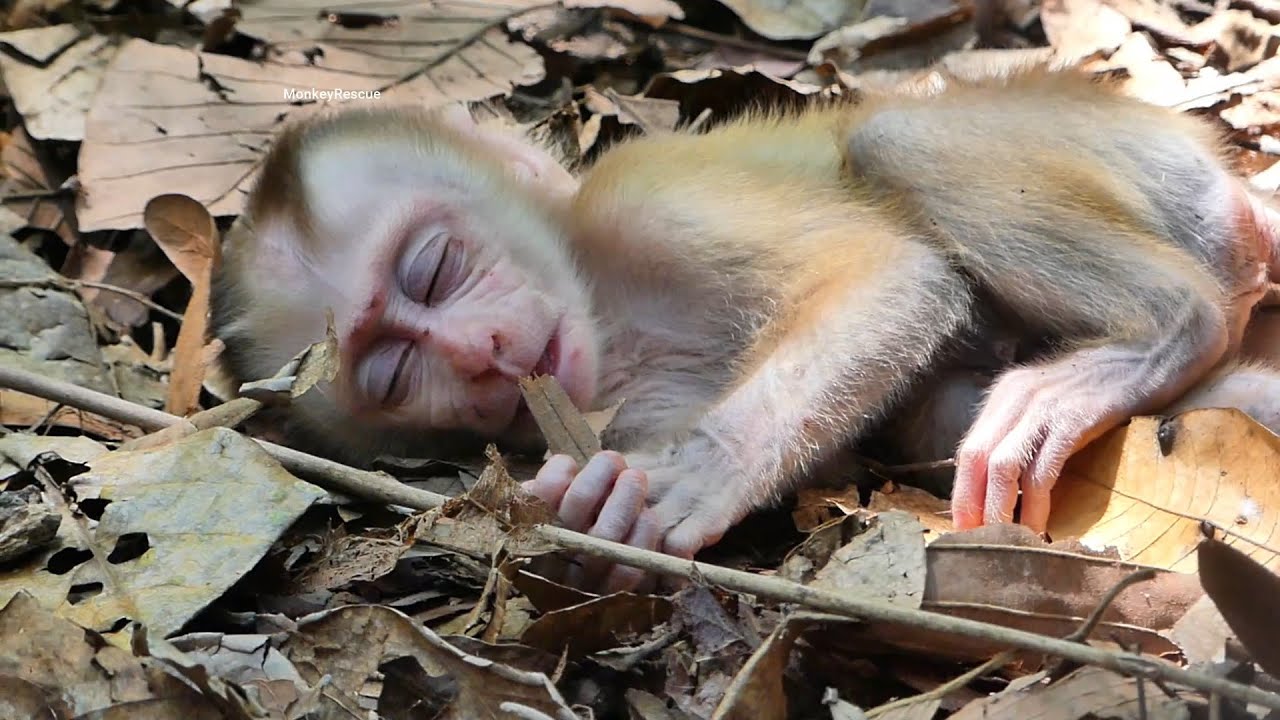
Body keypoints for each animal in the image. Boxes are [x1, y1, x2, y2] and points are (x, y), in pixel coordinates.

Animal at [211, 68, 1280, 592]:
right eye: (394, 373)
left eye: (432, 269)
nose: (485, 355)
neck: (609, 309)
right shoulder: (604, 396)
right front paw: (596, 497)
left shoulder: (649, 201)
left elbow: (892, 274)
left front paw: (706, 471)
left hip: (1147, 168)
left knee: (894, 140)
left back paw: (1166, 330)